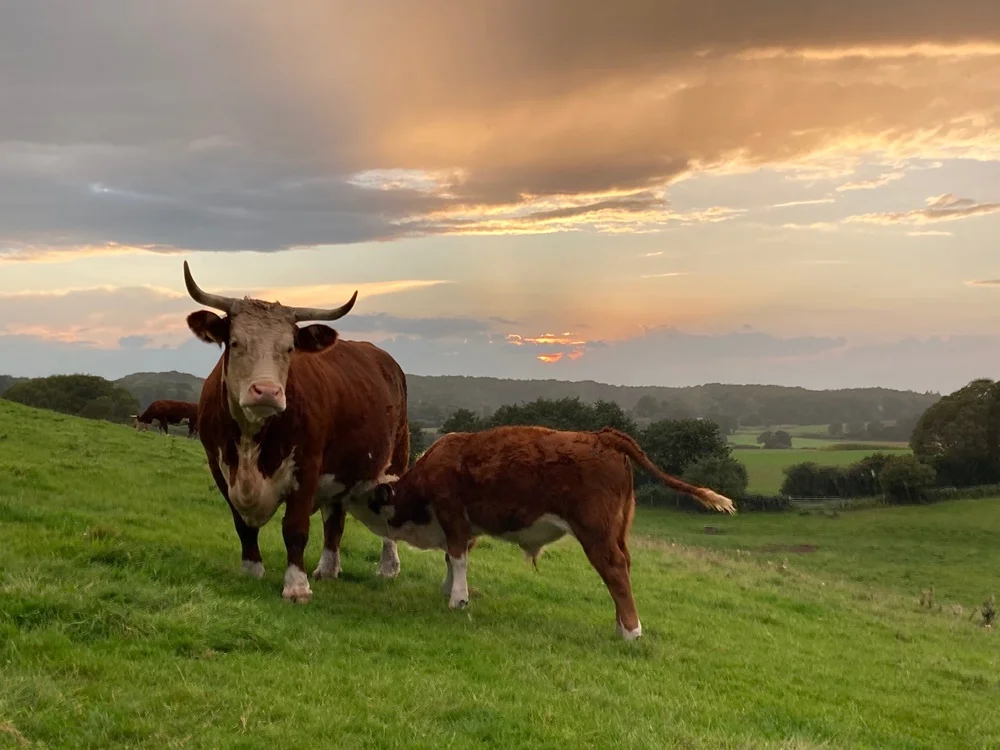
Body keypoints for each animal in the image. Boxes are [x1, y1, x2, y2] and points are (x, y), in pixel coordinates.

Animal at [181, 261, 408, 603]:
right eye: (235, 342)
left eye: (289, 348)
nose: (267, 392)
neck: (251, 439)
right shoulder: (219, 466)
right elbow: (242, 524)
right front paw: (251, 570)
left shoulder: (308, 466)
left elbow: (295, 528)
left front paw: (296, 585)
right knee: (334, 520)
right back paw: (328, 568)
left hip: (394, 462)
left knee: (385, 516)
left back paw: (388, 568)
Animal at [363, 425, 737, 640]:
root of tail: (602, 436)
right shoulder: (465, 525)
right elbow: (455, 557)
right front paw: (450, 590)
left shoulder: (452, 514)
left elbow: (456, 556)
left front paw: (458, 599)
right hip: (616, 530)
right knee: (625, 568)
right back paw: (620, 625)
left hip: (595, 532)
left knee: (615, 569)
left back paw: (632, 632)